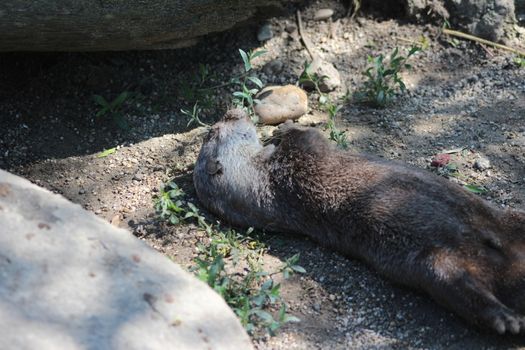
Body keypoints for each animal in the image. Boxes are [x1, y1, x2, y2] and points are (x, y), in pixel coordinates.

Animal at [193, 108, 525, 334]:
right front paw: (283, 129)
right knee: (463, 290)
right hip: (436, 266)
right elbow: (306, 134)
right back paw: (507, 320)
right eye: (214, 132)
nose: (232, 111)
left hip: (506, 219)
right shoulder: (303, 154)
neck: (271, 182)